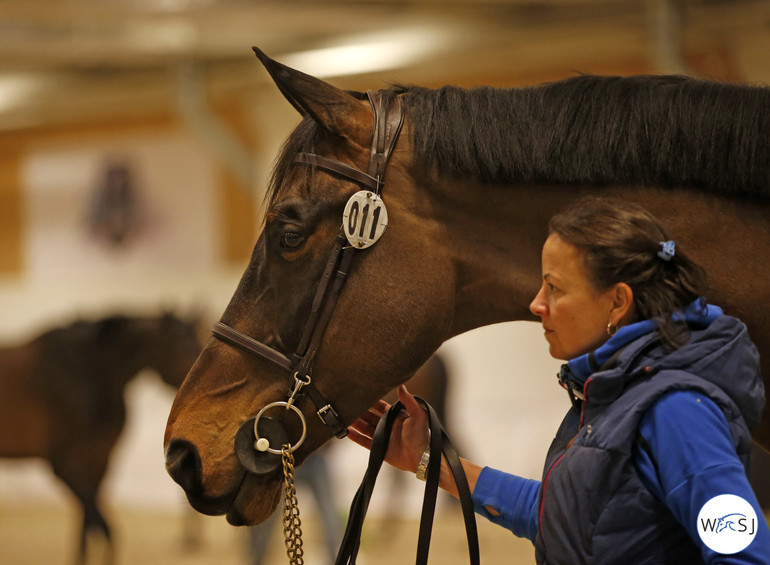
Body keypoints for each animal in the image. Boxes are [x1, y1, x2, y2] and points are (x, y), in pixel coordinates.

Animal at [0, 312, 201, 564]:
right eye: (179, 346)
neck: (88, 374)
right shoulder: (61, 463)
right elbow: (102, 526)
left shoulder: (99, 461)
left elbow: (88, 527)